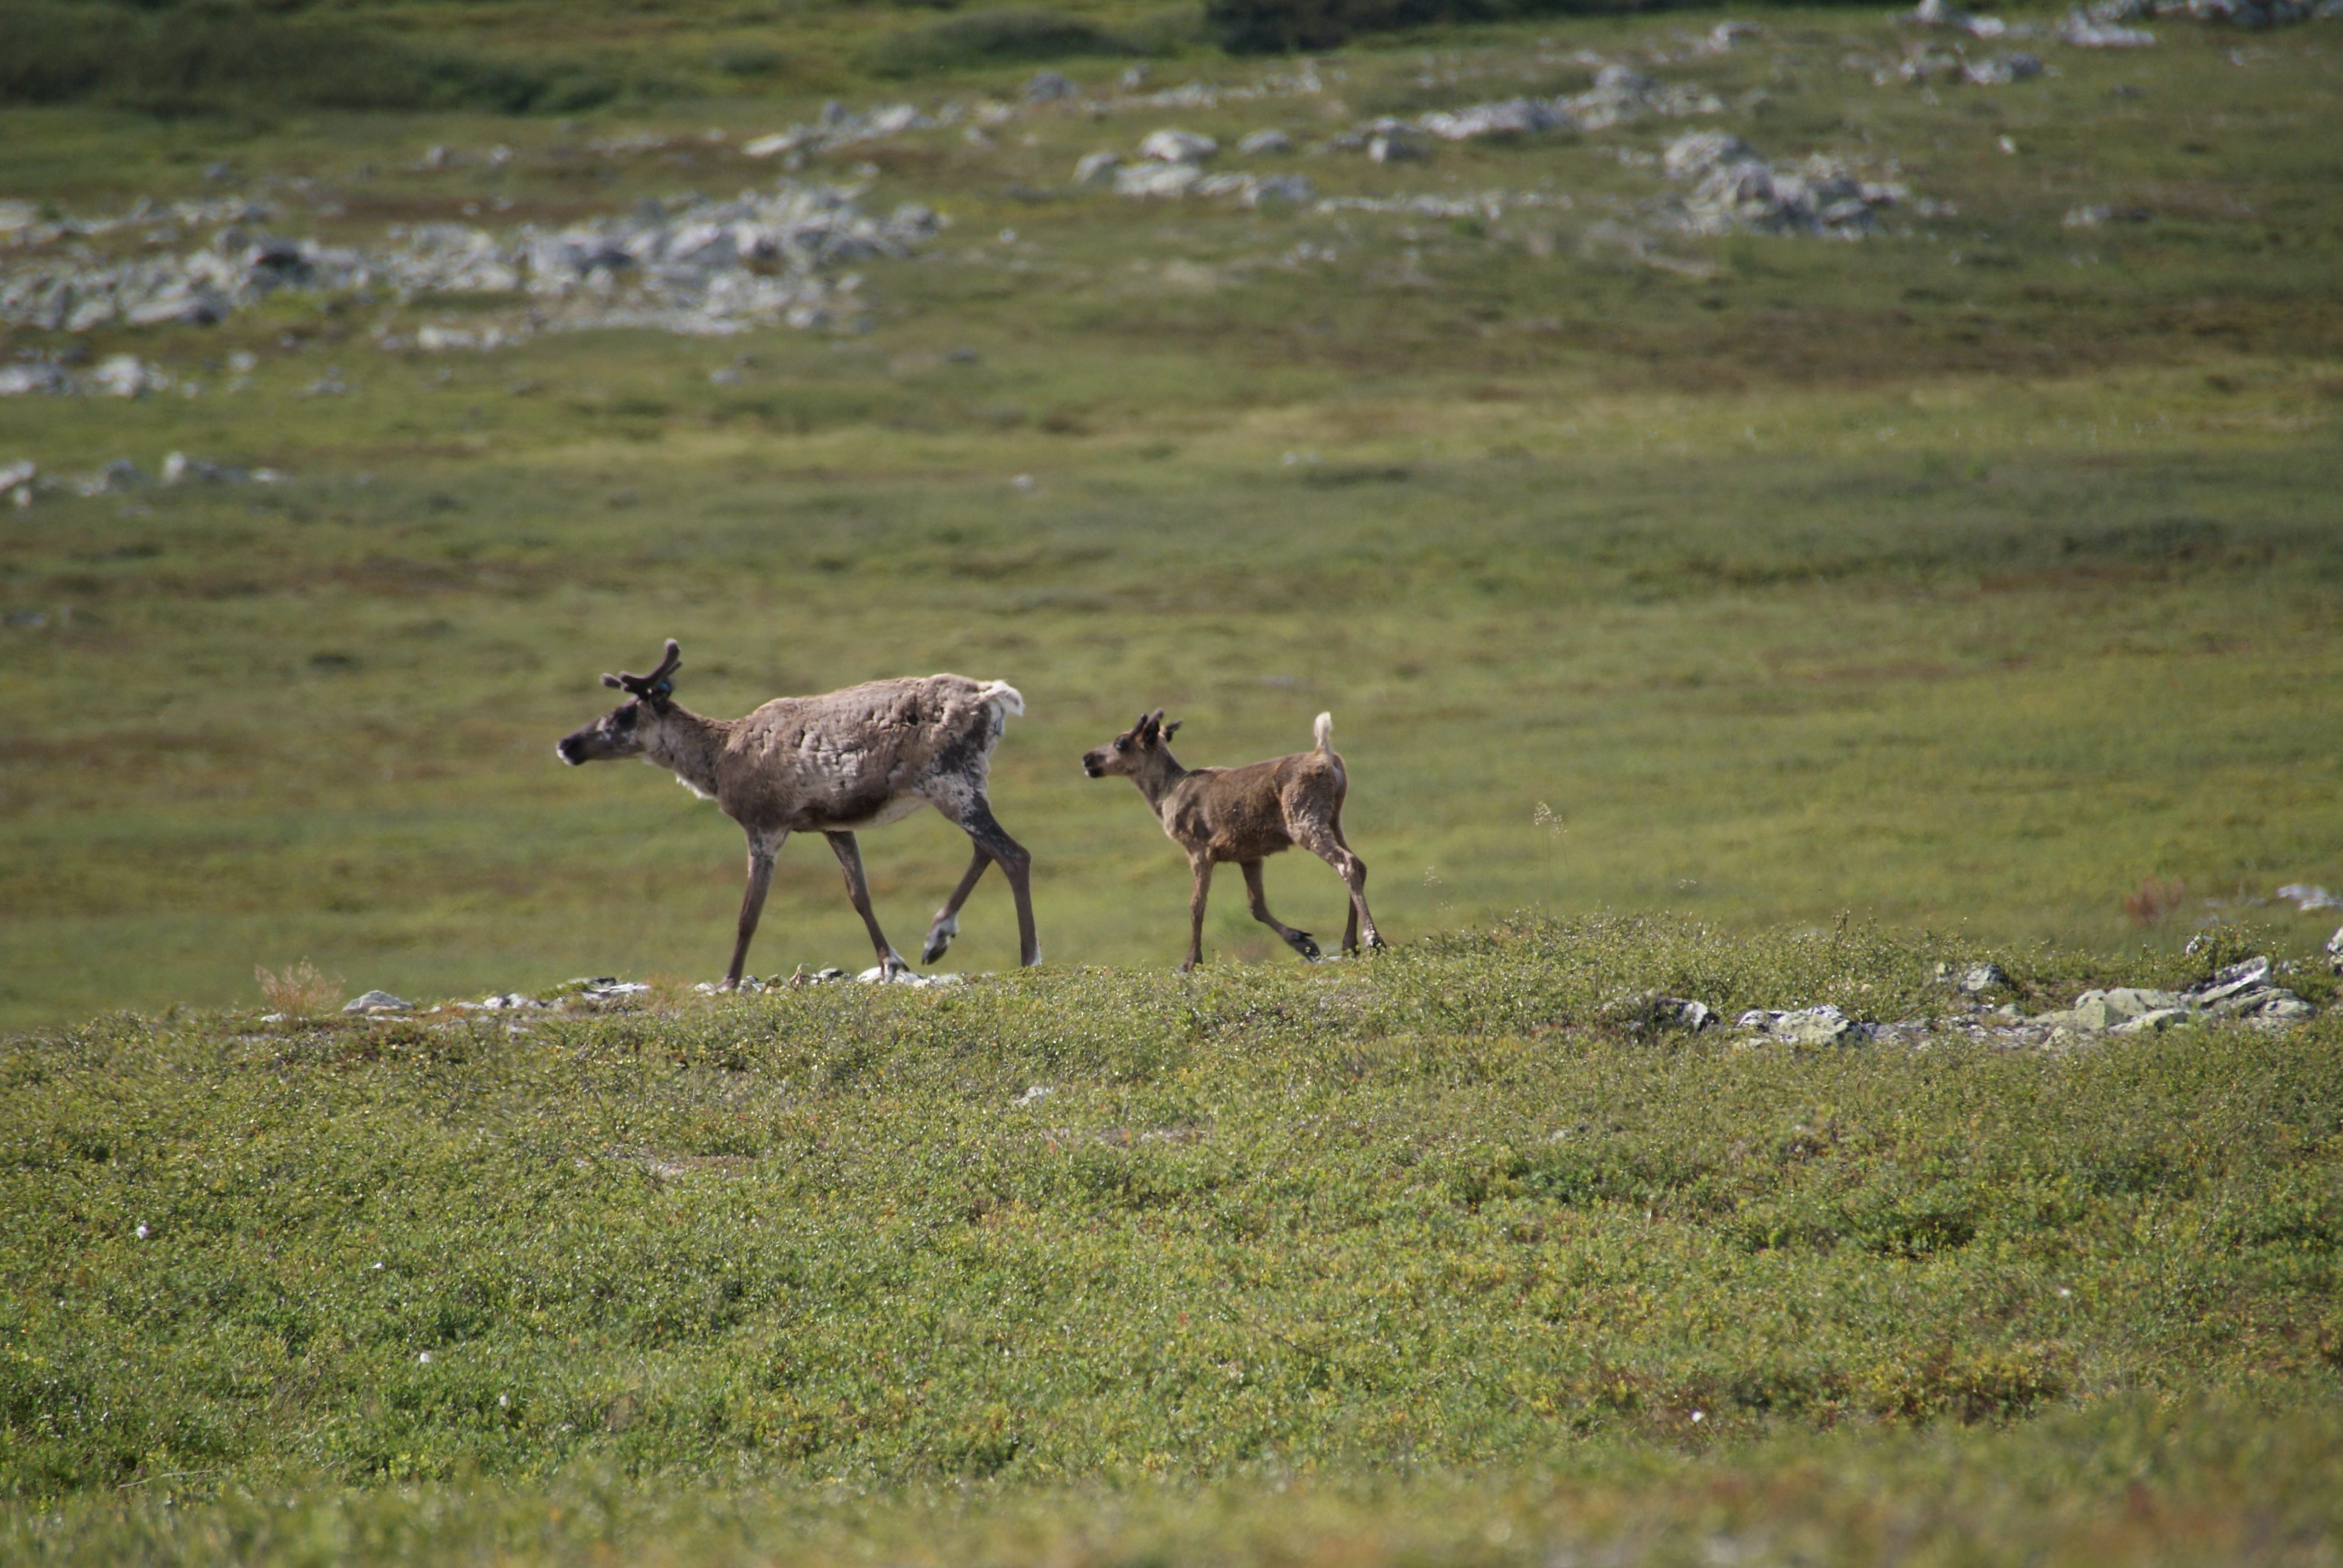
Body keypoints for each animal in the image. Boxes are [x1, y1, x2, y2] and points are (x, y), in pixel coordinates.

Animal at [557, 640, 1038, 988]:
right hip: (965, 784)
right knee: (986, 850)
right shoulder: (833, 823)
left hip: (949, 783)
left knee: (1014, 853)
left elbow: (749, 913)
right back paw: (937, 936)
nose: (567, 744)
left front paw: (729, 980)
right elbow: (859, 895)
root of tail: (995, 697)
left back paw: (1029, 956)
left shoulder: (764, 824)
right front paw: (891, 962)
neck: (719, 760)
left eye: (621, 715)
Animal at [1082, 709, 1382, 972]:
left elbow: (1196, 906)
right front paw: (1302, 941)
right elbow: (1256, 906)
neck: (1166, 796)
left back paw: (1372, 940)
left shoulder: (1199, 849)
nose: (1087, 758)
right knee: (1360, 864)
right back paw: (1349, 944)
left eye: (1120, 742)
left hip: (1304, 819)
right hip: (1334, 819)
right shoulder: (1249, 855)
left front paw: (1191, 962)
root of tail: (1327, 756)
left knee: (1347, 863)